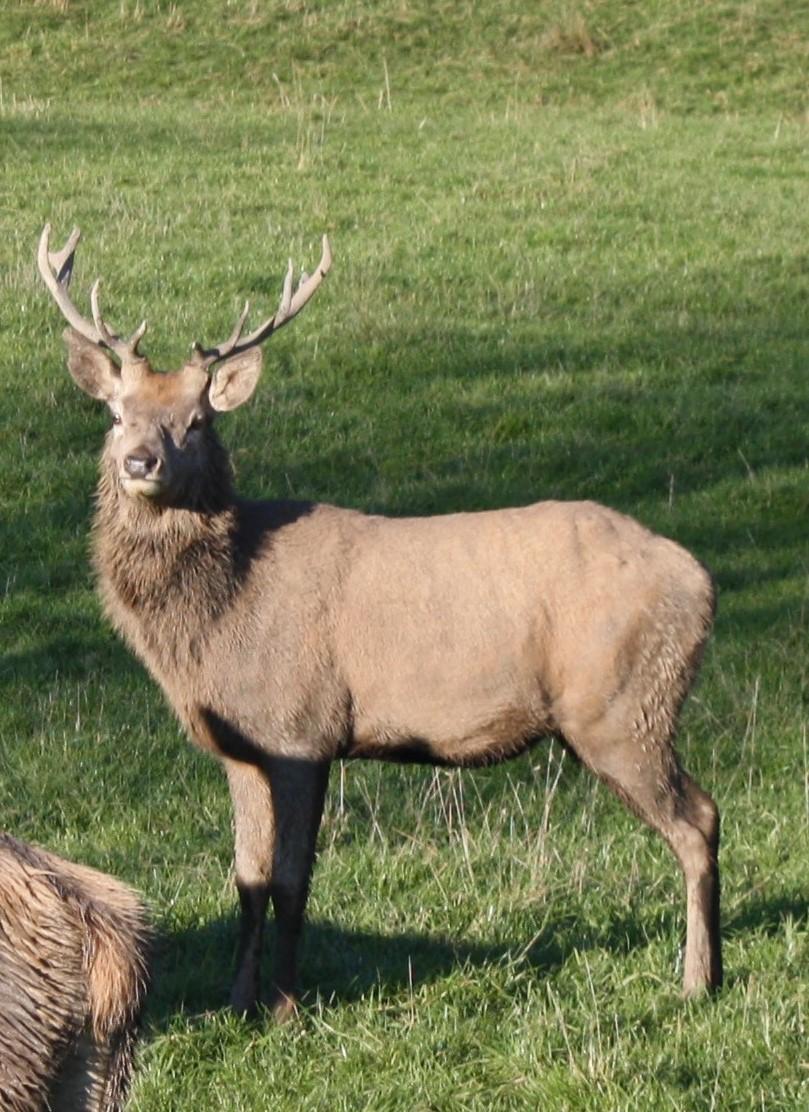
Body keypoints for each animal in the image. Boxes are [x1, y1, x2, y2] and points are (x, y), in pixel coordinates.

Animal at [36, 223, 720, 1023]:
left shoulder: (301, 729)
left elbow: (290, 881)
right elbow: (245, 880)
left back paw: (697, 981)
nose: (141, 461)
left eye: (198, 421)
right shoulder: (242, 746)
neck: (218, 619)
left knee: (697, 820)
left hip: (622, 707)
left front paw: (287, 1007)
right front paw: (235, 1002)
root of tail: (699, 581)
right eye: (117, 412)